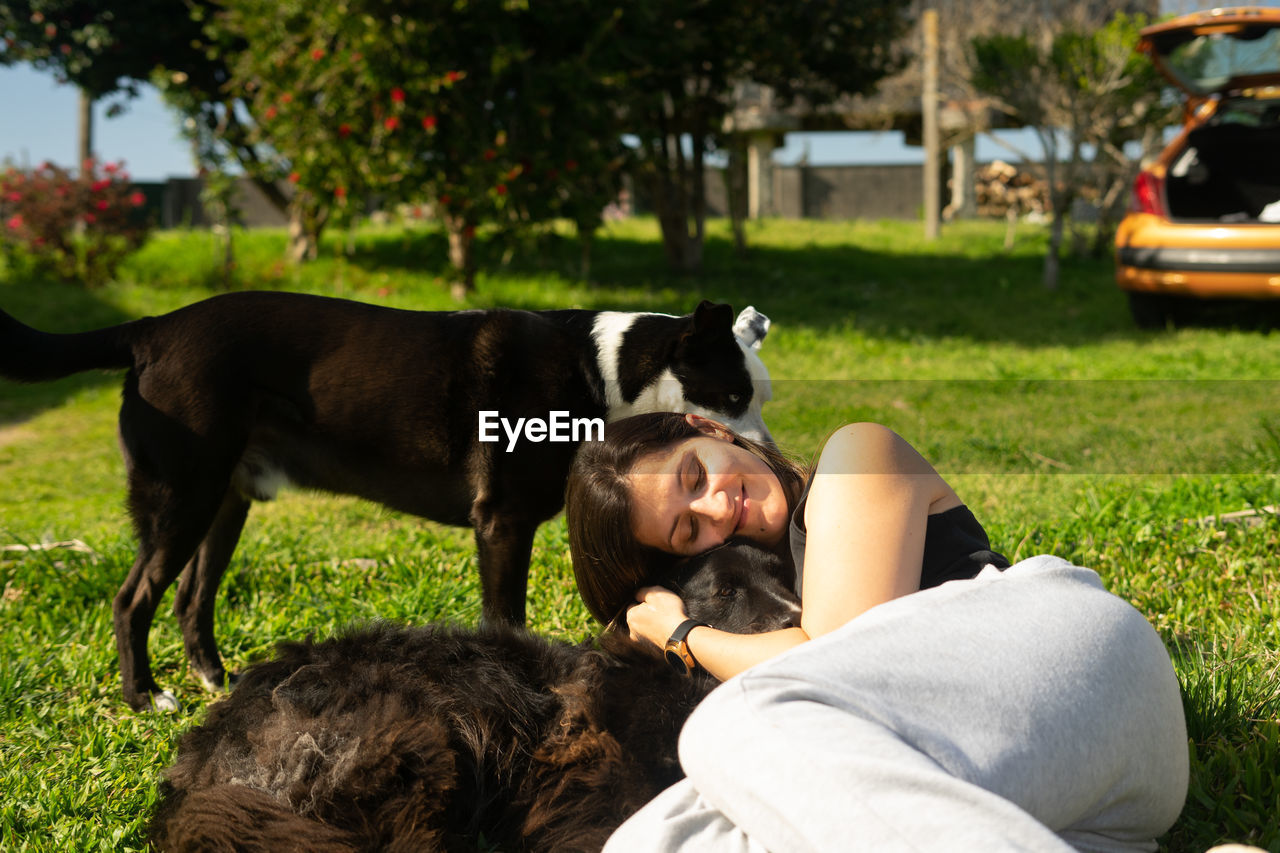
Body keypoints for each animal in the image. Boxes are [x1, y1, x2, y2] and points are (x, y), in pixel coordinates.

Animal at [0, 295, 768, 706]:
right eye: (733, 395)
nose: (766, 455)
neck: (598, 372)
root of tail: (150, 328)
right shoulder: (504, 523)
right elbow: (506, 619)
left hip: (223, 502)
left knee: (193, 597)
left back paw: (213, 680)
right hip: (180, 496)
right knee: (133, 598)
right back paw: (144, 696)